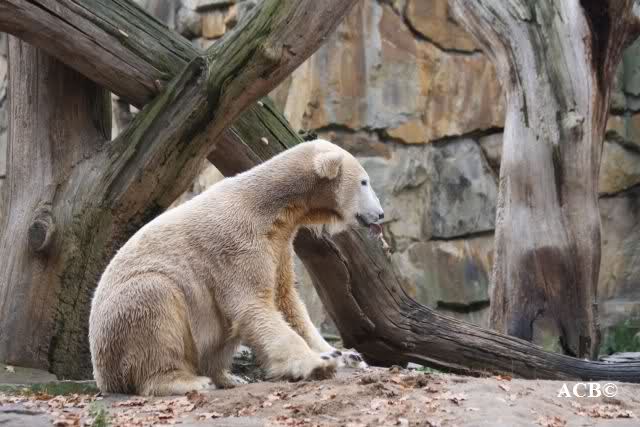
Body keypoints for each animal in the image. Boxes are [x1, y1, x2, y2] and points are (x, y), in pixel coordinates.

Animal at [88, 139, 384, 396]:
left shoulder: (278, 243)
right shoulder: (237, 242)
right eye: (364, 181)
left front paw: (345, 354)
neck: (268, 204)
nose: (380, 214)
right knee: (157, 305)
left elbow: (286, 300)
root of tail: (101, 374)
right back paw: (189, 381)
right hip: (126, 316)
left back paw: (229, 377)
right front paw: (318, 364)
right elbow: (252, 304)